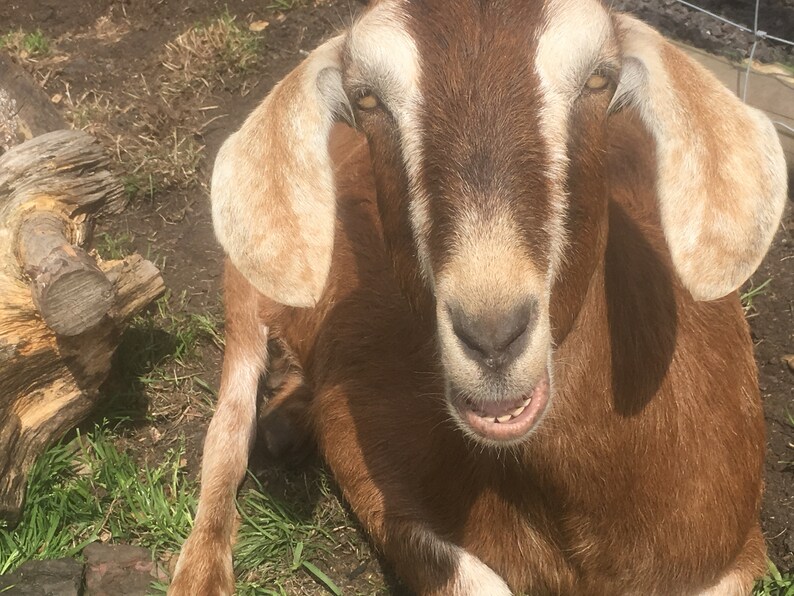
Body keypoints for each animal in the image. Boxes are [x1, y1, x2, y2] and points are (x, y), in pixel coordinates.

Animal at [169, 1, 788, 594]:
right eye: (367, 97)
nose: (492, 335)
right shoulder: (365, 457)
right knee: (228, 422)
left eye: (598, 79)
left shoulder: (738, 552)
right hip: (245, 290)